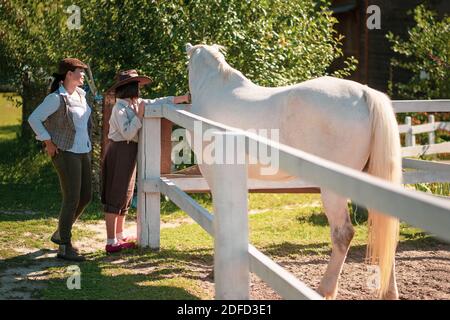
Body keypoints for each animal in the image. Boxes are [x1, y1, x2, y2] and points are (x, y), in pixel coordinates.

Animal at [185, 43, 402, 300]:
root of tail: (364, 94)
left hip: (334, 189)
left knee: (344, 234)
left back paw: (325, 289)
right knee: (384, 232)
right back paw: (389, 292)